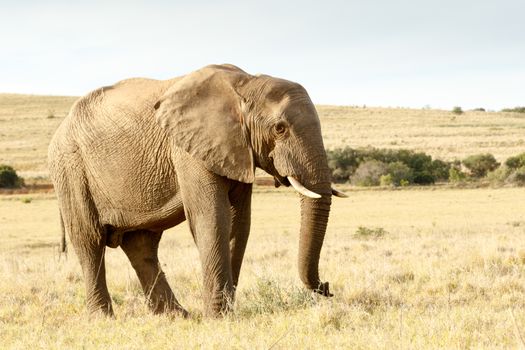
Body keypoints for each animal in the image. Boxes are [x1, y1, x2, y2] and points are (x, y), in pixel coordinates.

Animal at [48, 63, 344, 318]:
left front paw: (225, 313)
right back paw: (104, 318)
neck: (246, 83)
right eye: (280, 129)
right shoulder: (189, 148)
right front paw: (218, 318)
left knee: (141, 245)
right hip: (70, 168)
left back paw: (176, 316)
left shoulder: (235, 149)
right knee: (90, 241)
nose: (328, 287)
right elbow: (212, 218)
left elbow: (238, 222)